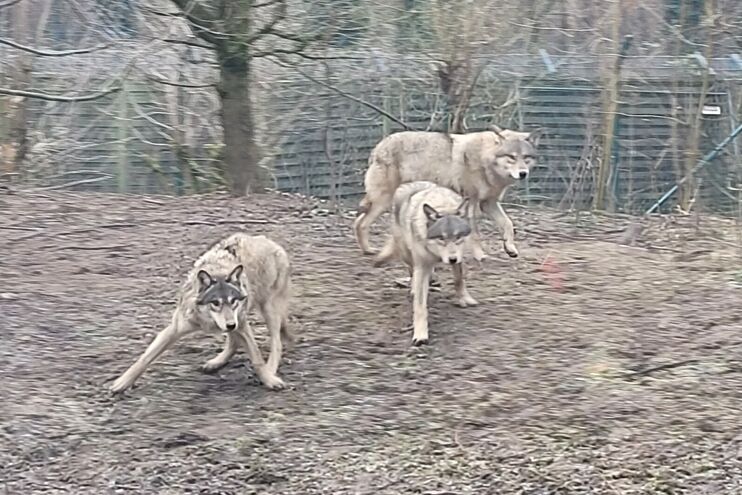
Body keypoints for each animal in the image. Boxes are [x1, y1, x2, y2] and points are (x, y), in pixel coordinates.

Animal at [109, 233, 294, 396]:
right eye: (216, 303)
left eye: (233, 301)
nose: (230, 324)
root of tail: (268, 240)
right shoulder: (175, 329)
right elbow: (144, 359)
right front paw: (123, 383)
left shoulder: (240, 323)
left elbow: (257, 359)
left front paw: (269, 379)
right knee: (233, 341)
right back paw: (216, 362)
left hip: (267, 310)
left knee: (276, 342)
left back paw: (270, 369)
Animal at [352, 125, 544, 260]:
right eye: (511, 157)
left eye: (526, 158)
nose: (523, 173)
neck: (485, 161)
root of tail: (378, 146)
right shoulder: (472, 203)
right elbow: (476, 234)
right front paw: (480, 256)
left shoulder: (489, 203)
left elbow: (508, 224)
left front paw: (510, 248)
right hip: (383, 201)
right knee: (361, 223)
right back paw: (368, 250)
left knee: (358, 222)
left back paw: (368, 249)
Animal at [374, 180, 480, 346]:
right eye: (441, 238)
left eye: (457, 237)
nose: (451, 259)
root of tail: (410, 183)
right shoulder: (422, 266)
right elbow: (419, 306)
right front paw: (420, 334)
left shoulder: (459, 256)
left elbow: (459, 280)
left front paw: (465, 299)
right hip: (408, 254)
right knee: (412, 271)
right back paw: (415, 287)